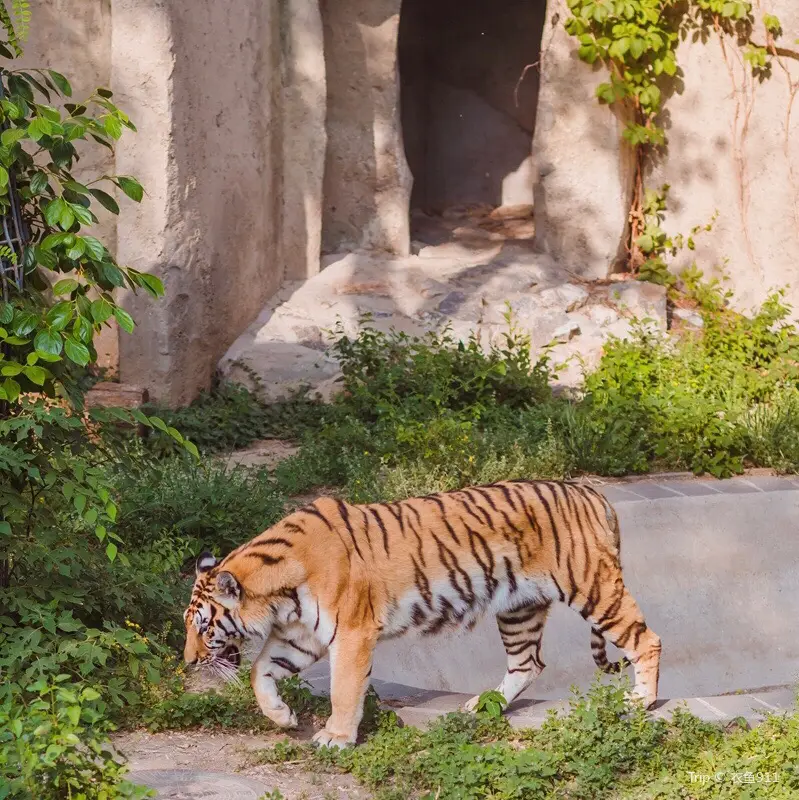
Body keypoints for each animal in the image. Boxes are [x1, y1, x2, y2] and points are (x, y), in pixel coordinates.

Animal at [183, 479, 661, 748]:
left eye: (205, 628)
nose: (187, 663)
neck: (279, 595)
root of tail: (591, 491)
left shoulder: (352, 632)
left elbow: (343, 690)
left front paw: (335, 737)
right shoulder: (300, 635)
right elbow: (260, 670)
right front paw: (281, 716)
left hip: (593, 587)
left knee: (646, 638)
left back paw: (640, 699)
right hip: (518, 607)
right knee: (529, 663)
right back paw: (482, 706)